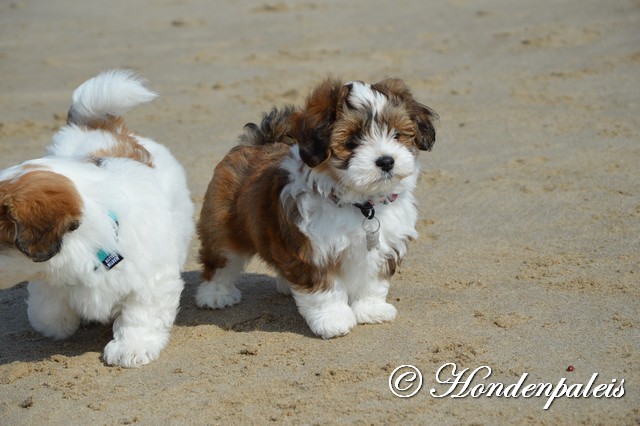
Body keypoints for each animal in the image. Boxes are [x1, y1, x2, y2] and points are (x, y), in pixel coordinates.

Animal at [0, 70, 195, 366]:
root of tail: (103, 128)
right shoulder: (46, 276)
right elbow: (48, 311)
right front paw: (61, 322)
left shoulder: (153, 279)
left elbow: (141, 313)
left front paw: (132, 347)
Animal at [196, 75, 436, 336]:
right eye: (352, 142)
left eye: (397, 135)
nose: (386, 161)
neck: (361, 204)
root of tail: (257, 144)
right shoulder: (313, 250)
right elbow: (325, 290)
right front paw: (333, 320)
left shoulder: (384, 247)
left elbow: (374, 282)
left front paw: (371, 310)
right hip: (224, 226)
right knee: (221, 260)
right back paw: (214, 295)